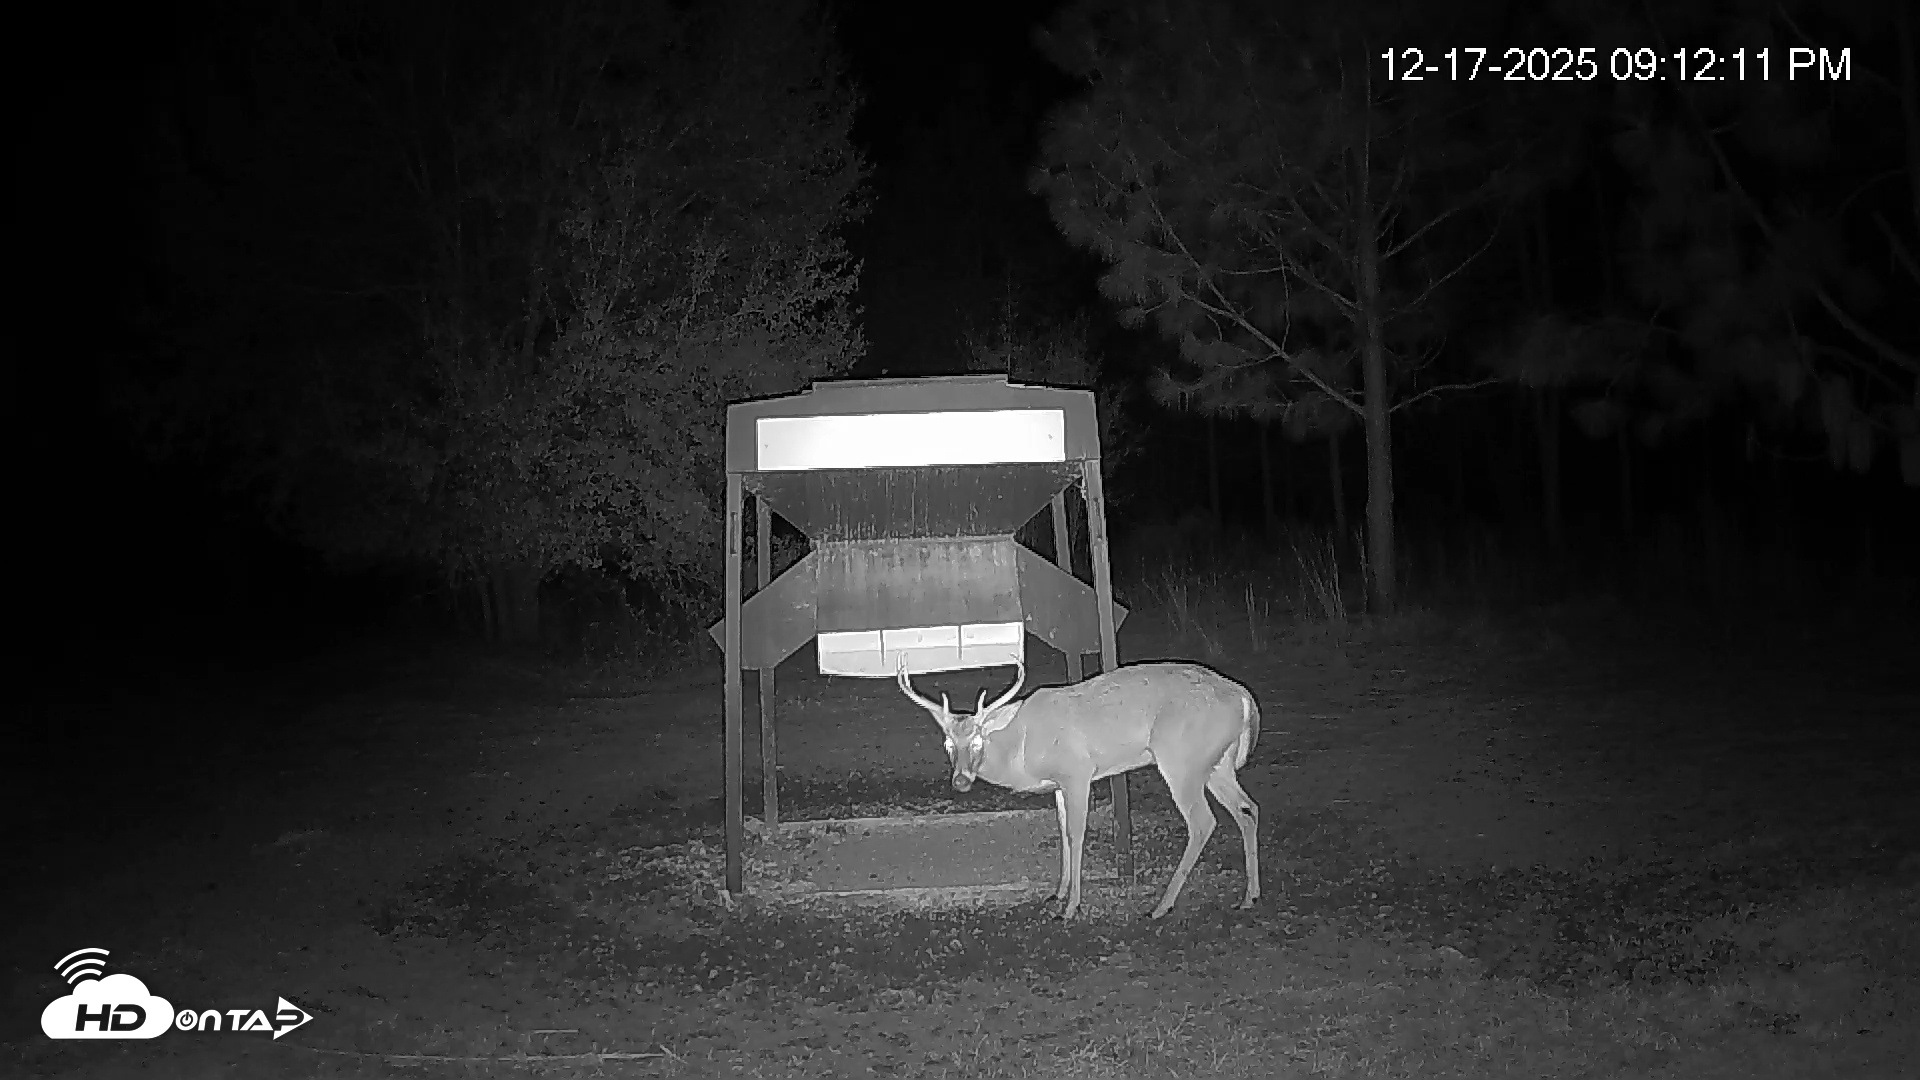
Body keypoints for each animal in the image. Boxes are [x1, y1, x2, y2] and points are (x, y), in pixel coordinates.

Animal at [897, 658, 1261, 921]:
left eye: (976, 742)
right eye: (947, 745)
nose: (960, 781)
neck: (1023, 746)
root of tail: (1245, 698)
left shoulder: (1078, 772)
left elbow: (1076, 833)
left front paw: (1070, 908)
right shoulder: (1059, 784)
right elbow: (1061, 831)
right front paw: (1058, 891)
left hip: (1181, 759)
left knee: (1203, 822)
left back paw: (1161, 906)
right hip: (1217, 762)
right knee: (1248, 809)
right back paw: (1249, 897)